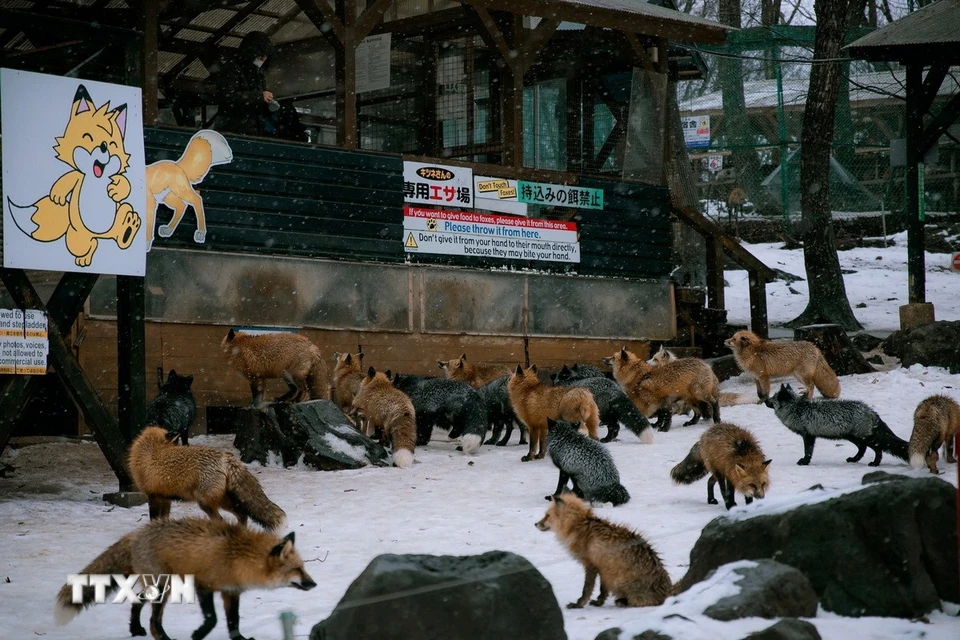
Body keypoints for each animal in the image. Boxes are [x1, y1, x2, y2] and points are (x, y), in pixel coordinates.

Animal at [125, 424, 282, 528]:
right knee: (242, 515)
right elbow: (163, 519)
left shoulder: (153, 496)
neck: (150, 450)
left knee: (221, 520)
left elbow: (154, 520)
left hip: (205, 502)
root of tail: (225, 457)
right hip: (222, 500)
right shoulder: (165, 498)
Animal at [536, 492, 672, 608]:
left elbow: (587, 589)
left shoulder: (592, 565)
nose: (535, 524)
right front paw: (599, 603)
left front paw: (579, 604)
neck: (579, 526)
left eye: (547, 516)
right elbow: (603, 590)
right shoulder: (604, 567)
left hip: (618, 580)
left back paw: (623, 601)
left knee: (639, 601)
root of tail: (668, 591)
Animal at [764, 382, 908, 468]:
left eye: (773, 398)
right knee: (862, 449)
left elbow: (808, 451)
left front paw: (805, 462)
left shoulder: (808, 435)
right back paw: (854, 459)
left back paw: (875, 463)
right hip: (853, 437)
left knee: (877, 450)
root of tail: (870, 411)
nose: (764, 400)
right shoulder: (811, 435)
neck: (796, 408)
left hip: (864, 438)